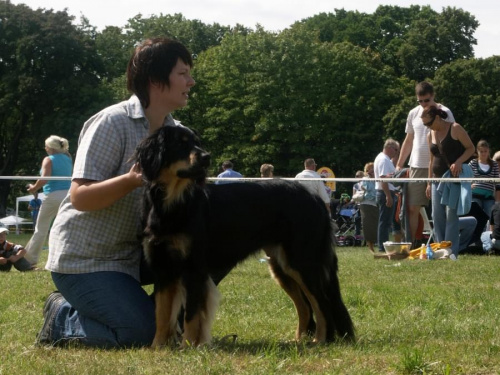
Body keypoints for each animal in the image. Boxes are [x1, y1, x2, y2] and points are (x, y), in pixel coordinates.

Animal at [135, 125, 354, 348]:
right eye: (181, 143)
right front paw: (158, 347)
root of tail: (316, 199)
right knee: (305, 306)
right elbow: (162, 314)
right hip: (282, 265)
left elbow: (191, 315)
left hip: (302, 262)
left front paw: (189, 346)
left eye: (197, 142)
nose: (206, 157)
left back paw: (321, 340)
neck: (172, 201)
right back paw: (299, 340)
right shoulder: (163, 267)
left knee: (322, 303)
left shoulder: (194, 268)